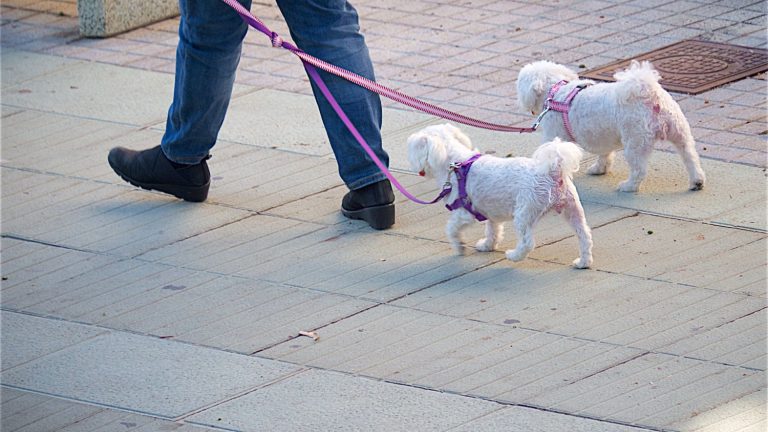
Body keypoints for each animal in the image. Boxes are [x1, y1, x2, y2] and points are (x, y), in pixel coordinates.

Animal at [408, 123, 592, 268]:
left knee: (527, 242)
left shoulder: (463, 213)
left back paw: (514, 255)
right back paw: (583, 262)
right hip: (572, 209)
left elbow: (452, 228)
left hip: (525, 212)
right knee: (584, 236)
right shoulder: (490, 212)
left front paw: (459, 246)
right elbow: (493, 230)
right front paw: (487, 245)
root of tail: (553, 171)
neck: (456, 164)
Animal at [516, 60, 708, 192]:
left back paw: (628, 186)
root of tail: (650, 94)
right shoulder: (601, 136)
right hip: (679, 130)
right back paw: (697, 181)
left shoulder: (554, 134)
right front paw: (599, 169)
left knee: (639, 169)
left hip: (635, 140)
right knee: (690, 156)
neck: (556, 93)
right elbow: (605, 154)